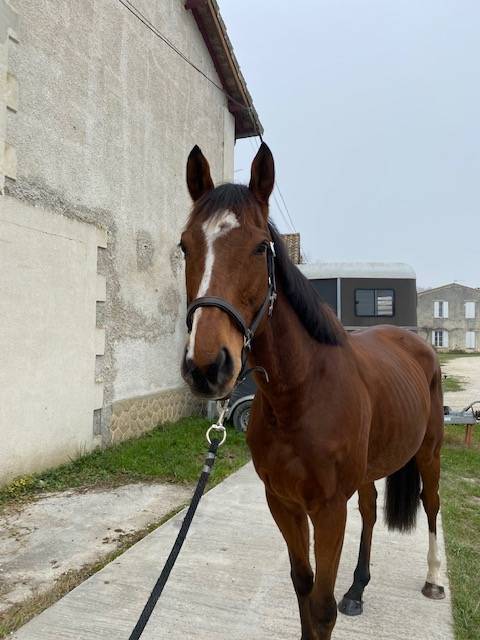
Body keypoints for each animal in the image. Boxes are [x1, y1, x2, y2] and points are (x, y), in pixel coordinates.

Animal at [180, 142, 446, 636]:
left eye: (260, 247)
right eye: (184, 245)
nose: (208, 366)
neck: (300, 395)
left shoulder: (328, 509)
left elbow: (321, 605)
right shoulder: (283, 502)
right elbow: (302, 586)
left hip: (429, 451)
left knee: (432, 504)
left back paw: (434, 580)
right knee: (370, 511)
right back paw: (357, 589)